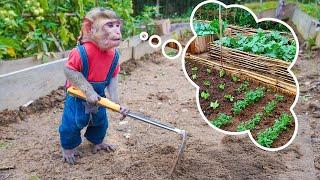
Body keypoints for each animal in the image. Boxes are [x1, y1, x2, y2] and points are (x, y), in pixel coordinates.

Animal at [58, 7, 128, 165]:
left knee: (99, 127)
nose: (117, 31)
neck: (99, 49)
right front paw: (91, 95)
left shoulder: (115, 55)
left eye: (117, 25)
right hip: (74, 110)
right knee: (69, 129)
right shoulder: (77, 54)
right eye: (110, 25)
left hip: (99, 114)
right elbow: (70, 70)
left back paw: (100, 144)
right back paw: (68, 151)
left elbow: (113, 79)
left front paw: (119, 105)